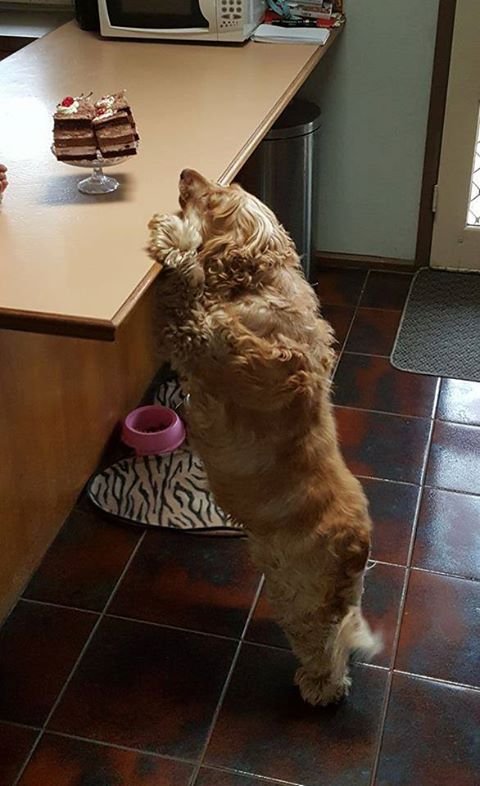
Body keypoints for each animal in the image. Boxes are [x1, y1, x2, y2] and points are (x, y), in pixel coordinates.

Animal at [147, 169, 381, 706]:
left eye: (215, 195)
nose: (185, 172)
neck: (254, 284)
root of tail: (357, 545)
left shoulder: (206, 340)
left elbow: (188, 286)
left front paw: (174, 237)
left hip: (302, 597)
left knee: (325, 651)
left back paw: (319, 689)